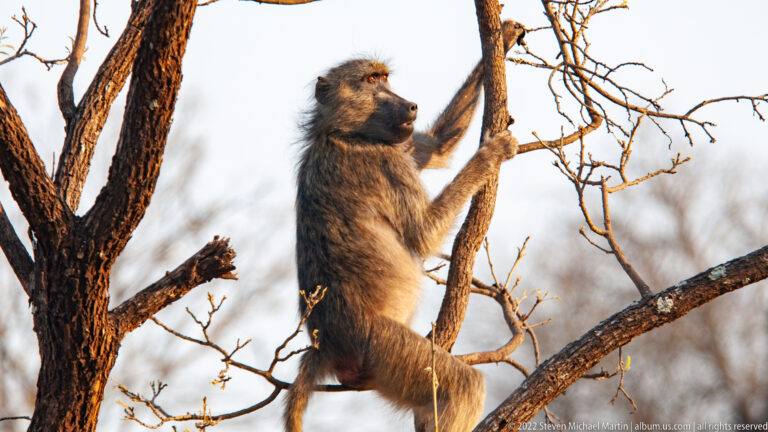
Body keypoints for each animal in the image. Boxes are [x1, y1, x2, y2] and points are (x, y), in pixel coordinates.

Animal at [287, 22, 525, 432]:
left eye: (385, 78)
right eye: (371, 80)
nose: (410, 105)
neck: (339, 133)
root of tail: (326, 345)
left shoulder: (397, 143)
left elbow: (436, 147)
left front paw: (504, 38)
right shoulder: (384, 162)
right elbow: (424, 235)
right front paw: (493, 153)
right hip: (385, 349)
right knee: (463, 385)